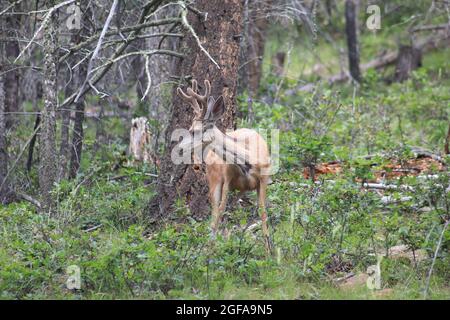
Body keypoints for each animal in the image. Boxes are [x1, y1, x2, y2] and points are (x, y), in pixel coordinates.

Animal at [177, 79, 272, 251]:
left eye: (193, 130)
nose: (179, 148)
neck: (248, 161)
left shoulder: (263, 180)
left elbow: (263, 213)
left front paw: (269, 252)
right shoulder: (227, 179)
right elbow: (220, 211)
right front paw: (210, 248)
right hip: (214, 180)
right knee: (216, 213)